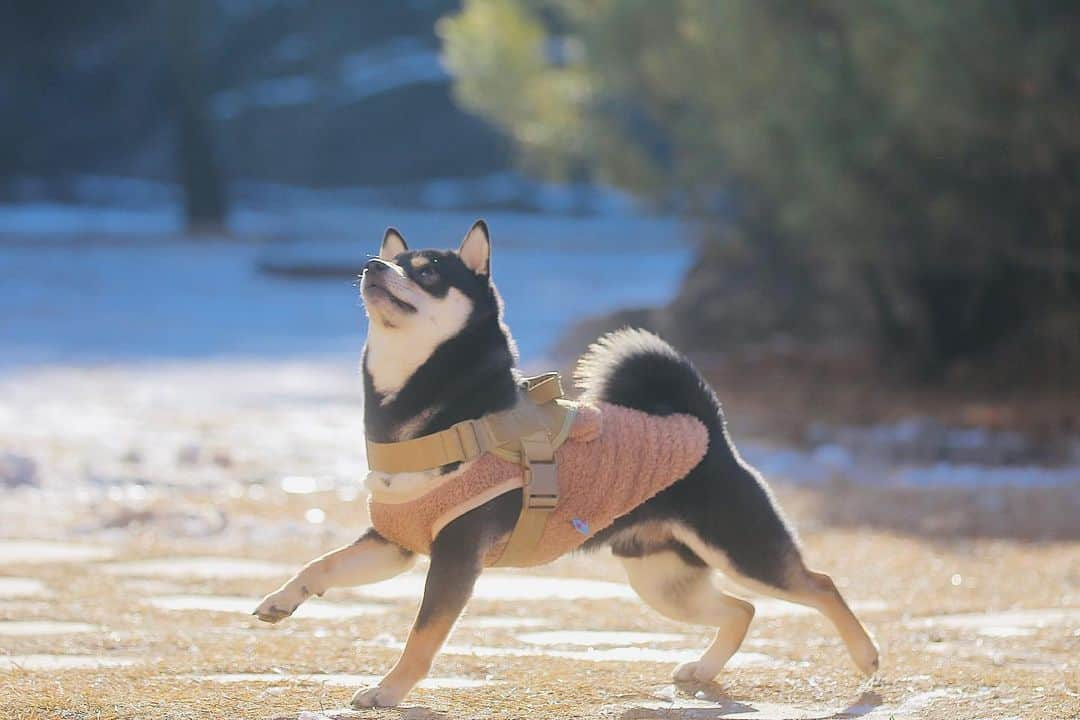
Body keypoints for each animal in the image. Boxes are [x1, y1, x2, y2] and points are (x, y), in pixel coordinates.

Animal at [257, 222, 881, 708]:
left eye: (428, 272)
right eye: (388, 258)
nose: (372, 265)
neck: (434, 412)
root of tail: (708, 428)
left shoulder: (454, 557)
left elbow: (422, 636)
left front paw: (388, 690)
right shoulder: (395, 543)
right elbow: (322, 565)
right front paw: (282, 599)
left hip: (740, 550)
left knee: (818, 585)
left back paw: (867, 658)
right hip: (663, 579)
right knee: (743, 610)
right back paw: (704, 670)